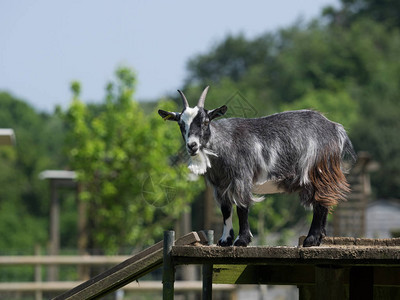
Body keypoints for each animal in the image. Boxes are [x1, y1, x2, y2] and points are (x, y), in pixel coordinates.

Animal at [158, 86, 354, 246]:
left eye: (206, 121)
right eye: (181, 124)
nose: (192, 145)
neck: (224, 143)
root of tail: (335, 128)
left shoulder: (241, 178)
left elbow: (242, 208)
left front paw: (241, 240)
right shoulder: (220, 186)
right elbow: (226, 210)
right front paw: (225, 240)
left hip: (318, 169)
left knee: (321, 201)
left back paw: (311, 239)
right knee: (324, 201)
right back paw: (319, 237)